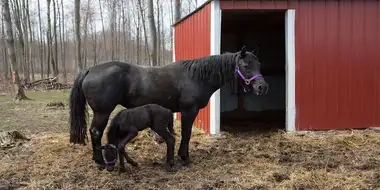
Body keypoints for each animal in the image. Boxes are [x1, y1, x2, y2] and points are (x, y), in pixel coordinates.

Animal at [69, 46, 270, 169]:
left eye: (259, 64)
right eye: (246, 65)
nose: (262, 87)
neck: (196, 77)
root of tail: (91, 70)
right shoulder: (189, 111)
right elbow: (187, 134)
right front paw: (184, 158)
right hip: (102, 112)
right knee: (95, 132)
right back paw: (100, 162)